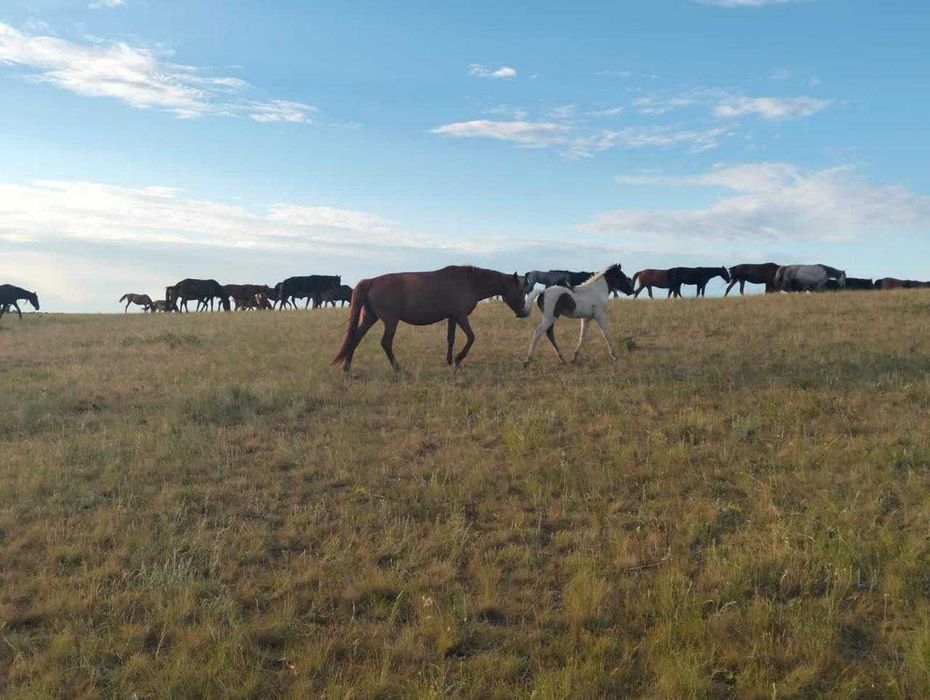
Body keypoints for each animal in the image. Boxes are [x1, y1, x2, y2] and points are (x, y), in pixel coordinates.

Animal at [332, 266, 528, 372]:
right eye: (520, 291)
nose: (524, 313)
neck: (469, 282)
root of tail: (371, 281)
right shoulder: (461, 316)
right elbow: (471, 337)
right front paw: (458, 359)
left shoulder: (452, 317)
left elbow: (451, 338)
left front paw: (450, 360)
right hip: (391, 321)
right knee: (386, 342)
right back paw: (397, 368)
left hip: (370, 317)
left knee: (355, 338)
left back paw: (347, 368)